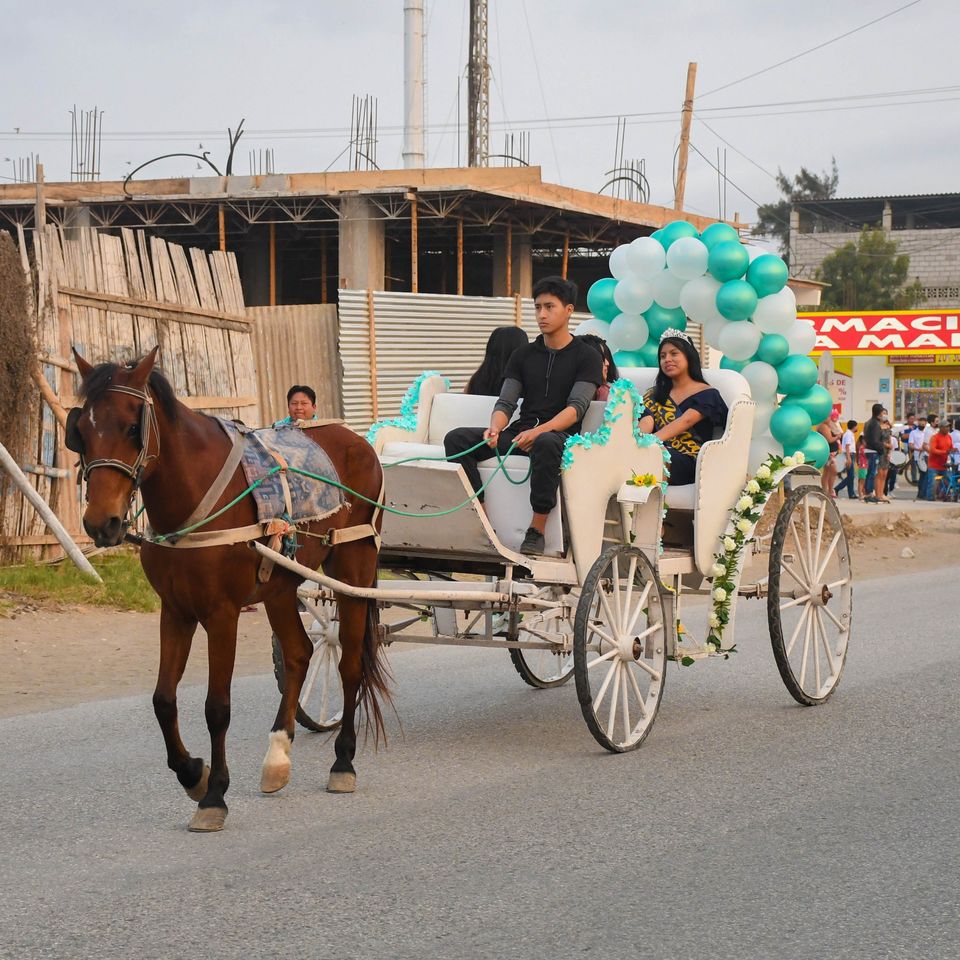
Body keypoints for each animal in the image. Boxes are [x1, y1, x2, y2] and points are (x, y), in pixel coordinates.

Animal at [66, 347, 389, 832]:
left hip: (353, 567)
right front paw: (192, 773)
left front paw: (214, 794)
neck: (194, 495)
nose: (100, 523)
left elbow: (216, 706)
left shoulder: (222, 612)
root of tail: (355, 438)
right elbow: (163, 700)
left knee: (350, 664)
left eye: (130, 427)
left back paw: (343, 762)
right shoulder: (175, 609)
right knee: (299, 654)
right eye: (81, 432)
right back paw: (277, 757)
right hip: (280, 584)